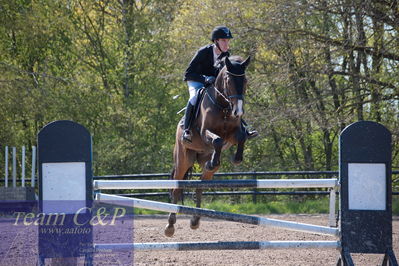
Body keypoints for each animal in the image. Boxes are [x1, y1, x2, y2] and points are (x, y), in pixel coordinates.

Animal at [165, 54, 252, 237]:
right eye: (228, 80)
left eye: (245, 80)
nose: (238, 111)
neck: (224, 106)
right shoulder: (205, 132)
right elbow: (217, 140)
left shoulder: (232, 134)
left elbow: (241, 137)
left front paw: (237, 159)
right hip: (183, 159)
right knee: (177, 188)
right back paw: (170, 225)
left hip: (203, 160)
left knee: (200, 186)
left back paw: (195, 220)